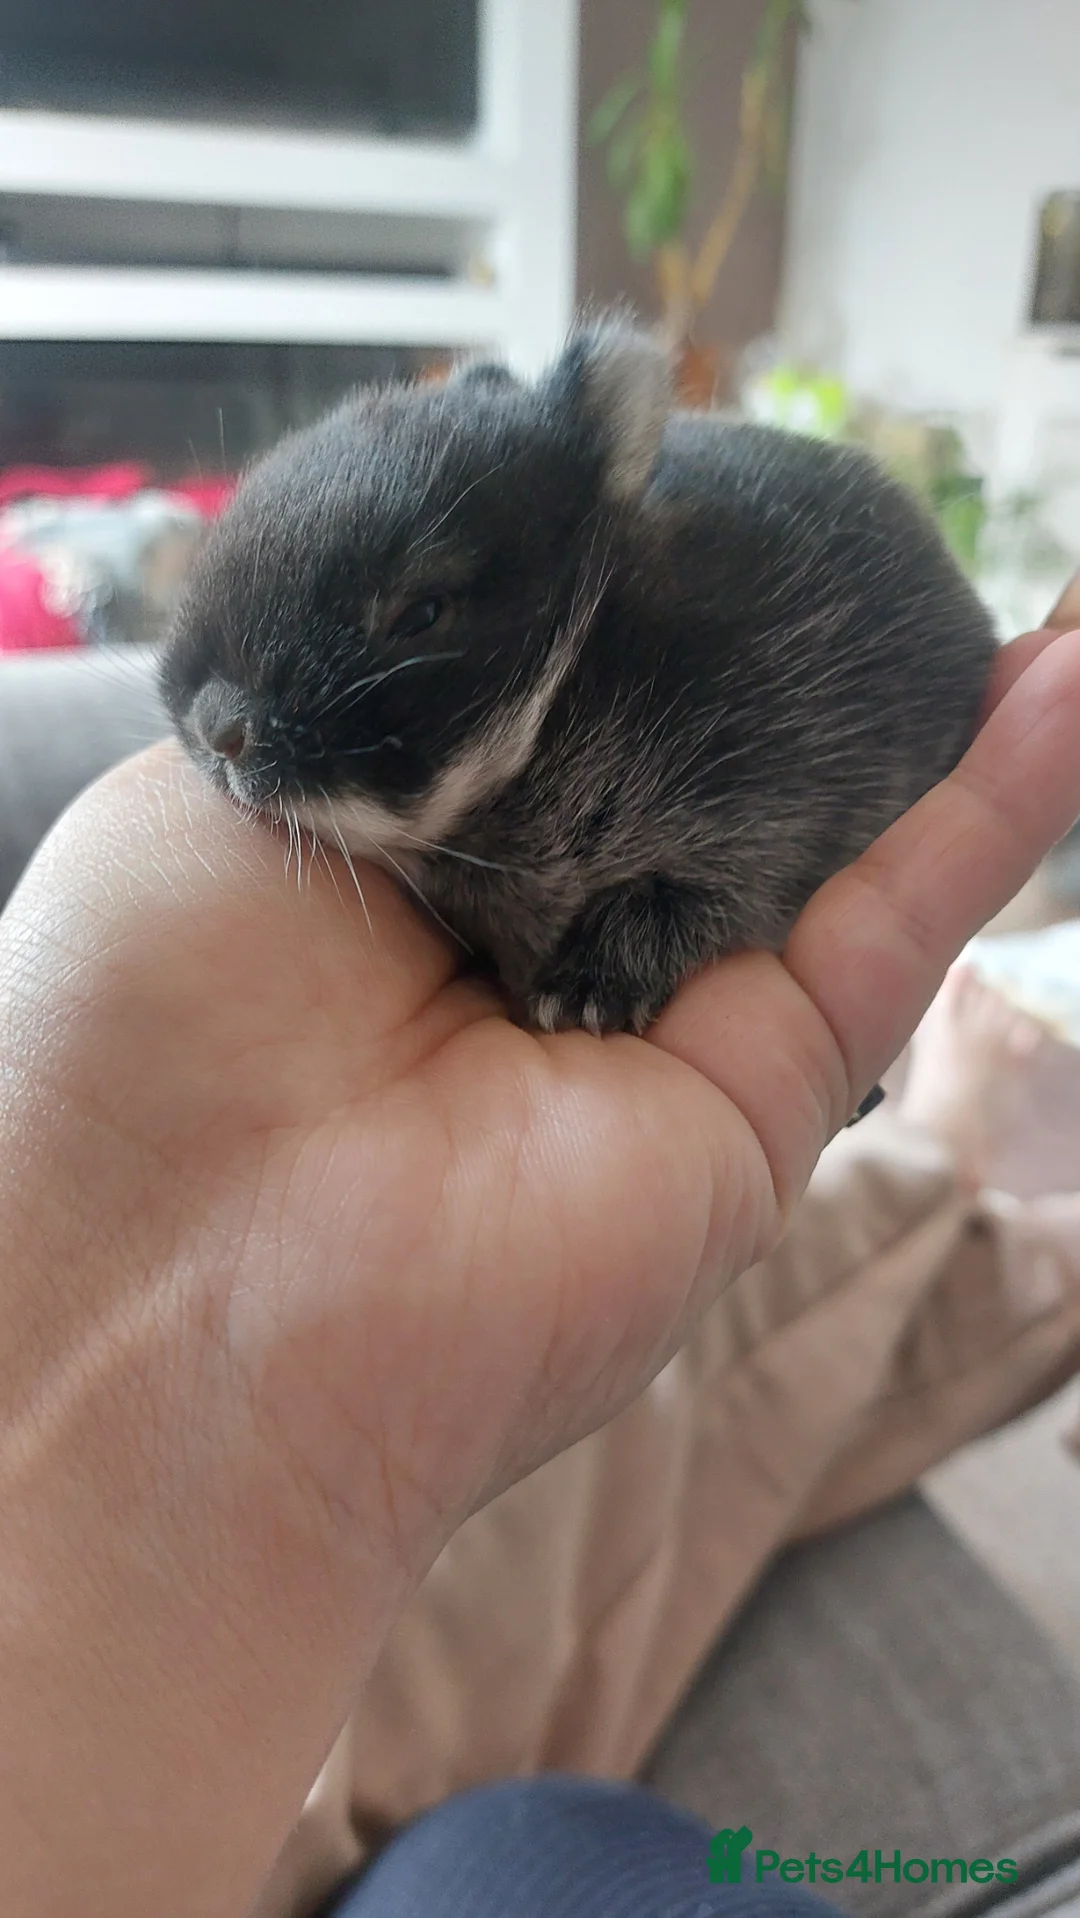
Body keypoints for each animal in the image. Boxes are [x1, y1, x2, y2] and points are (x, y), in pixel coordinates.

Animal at [160, 322, 997, 1038]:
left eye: (423, 612)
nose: (217, 728)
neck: (570, 684)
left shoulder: (769, 801)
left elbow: (697, 893)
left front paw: (589, 989)